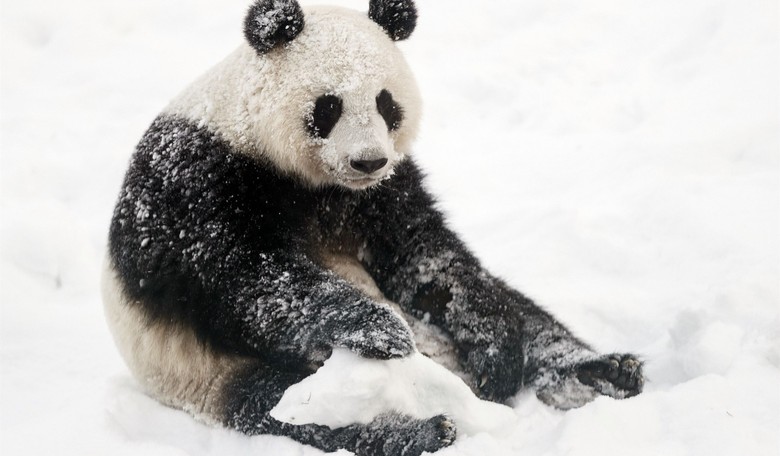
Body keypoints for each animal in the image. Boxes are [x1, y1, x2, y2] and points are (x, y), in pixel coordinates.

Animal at [102, 1, 644, 455]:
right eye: (328, 106)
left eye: (387, 103)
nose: (367, 160)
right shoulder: (195, 183)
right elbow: (251, 279)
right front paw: (377, 328)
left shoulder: (384, 192)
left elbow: (424, 259)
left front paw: (495, 348)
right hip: (209, 373)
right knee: (294, 411)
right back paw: (419, 431)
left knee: (527, 313)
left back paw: (602, 372)